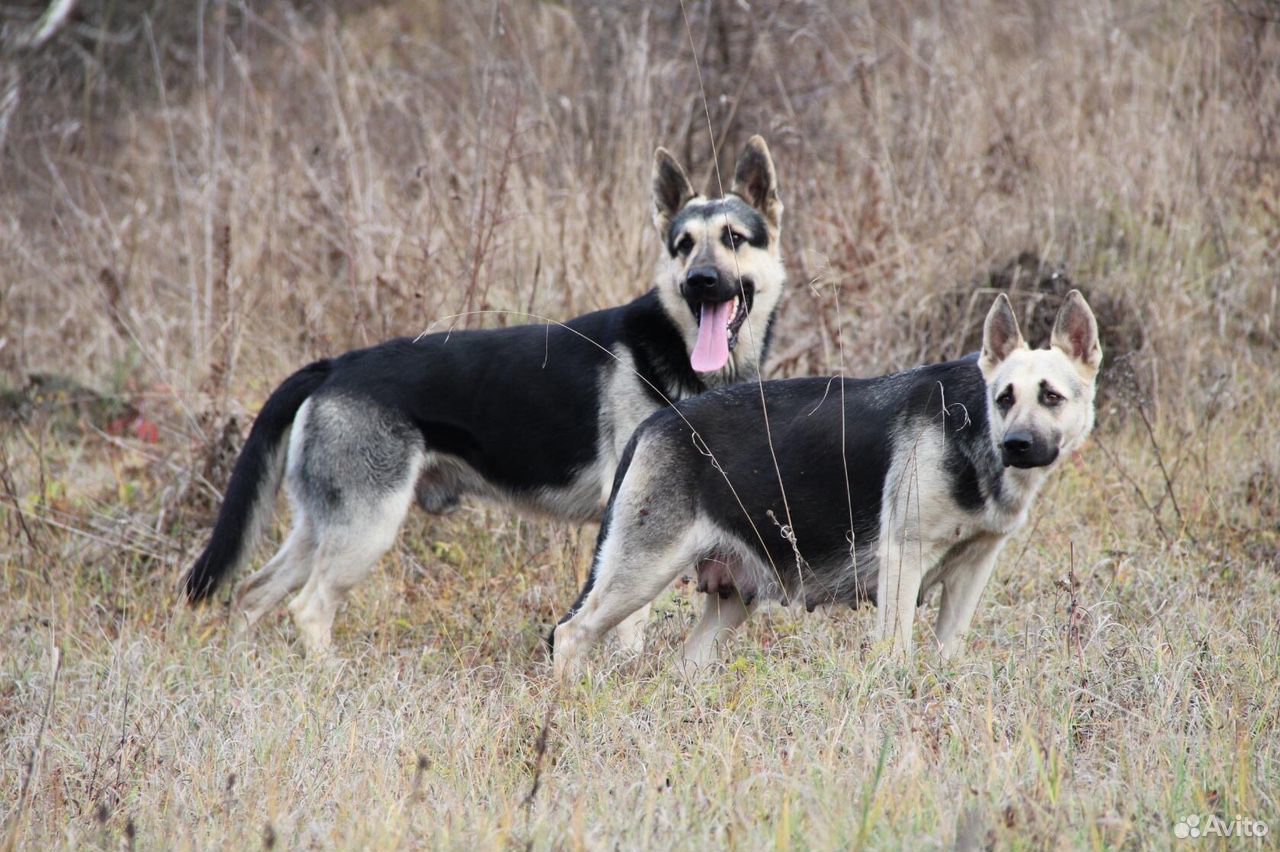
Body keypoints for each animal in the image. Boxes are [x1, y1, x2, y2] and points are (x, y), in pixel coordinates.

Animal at [550, 289, 1100, 675]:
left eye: (1051, 397)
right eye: (1004, 398)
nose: (1016, 445)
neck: (974, 425)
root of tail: (655, 423)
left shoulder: (972, 573)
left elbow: (948, 652)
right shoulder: (904, 563)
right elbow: (896, 654)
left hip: (730, 601)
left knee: (684, 662)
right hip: (639, 575)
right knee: (570, 634)